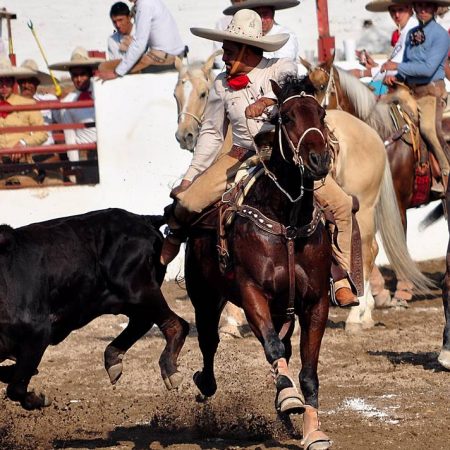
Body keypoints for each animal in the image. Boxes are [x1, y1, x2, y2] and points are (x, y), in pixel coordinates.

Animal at [0, 209, 188, 410]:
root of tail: (143, 219)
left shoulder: (38, 333)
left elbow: (16, 388)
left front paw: (39, 398)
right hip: (119, 300)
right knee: (142, 321)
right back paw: (114, 359)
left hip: (136, 289)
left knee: (175, 323)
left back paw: (169, 371)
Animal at [184, 76, 334, 446]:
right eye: (286, 117)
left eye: (321, 113)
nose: (318, 159)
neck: (288, 222)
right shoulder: (252, 293)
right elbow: (272, 347)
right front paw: (288, 397)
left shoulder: (316, 302)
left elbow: (308, 372)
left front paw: (313, 430)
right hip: (204, 297)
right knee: (209, 341)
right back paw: (205, 383)